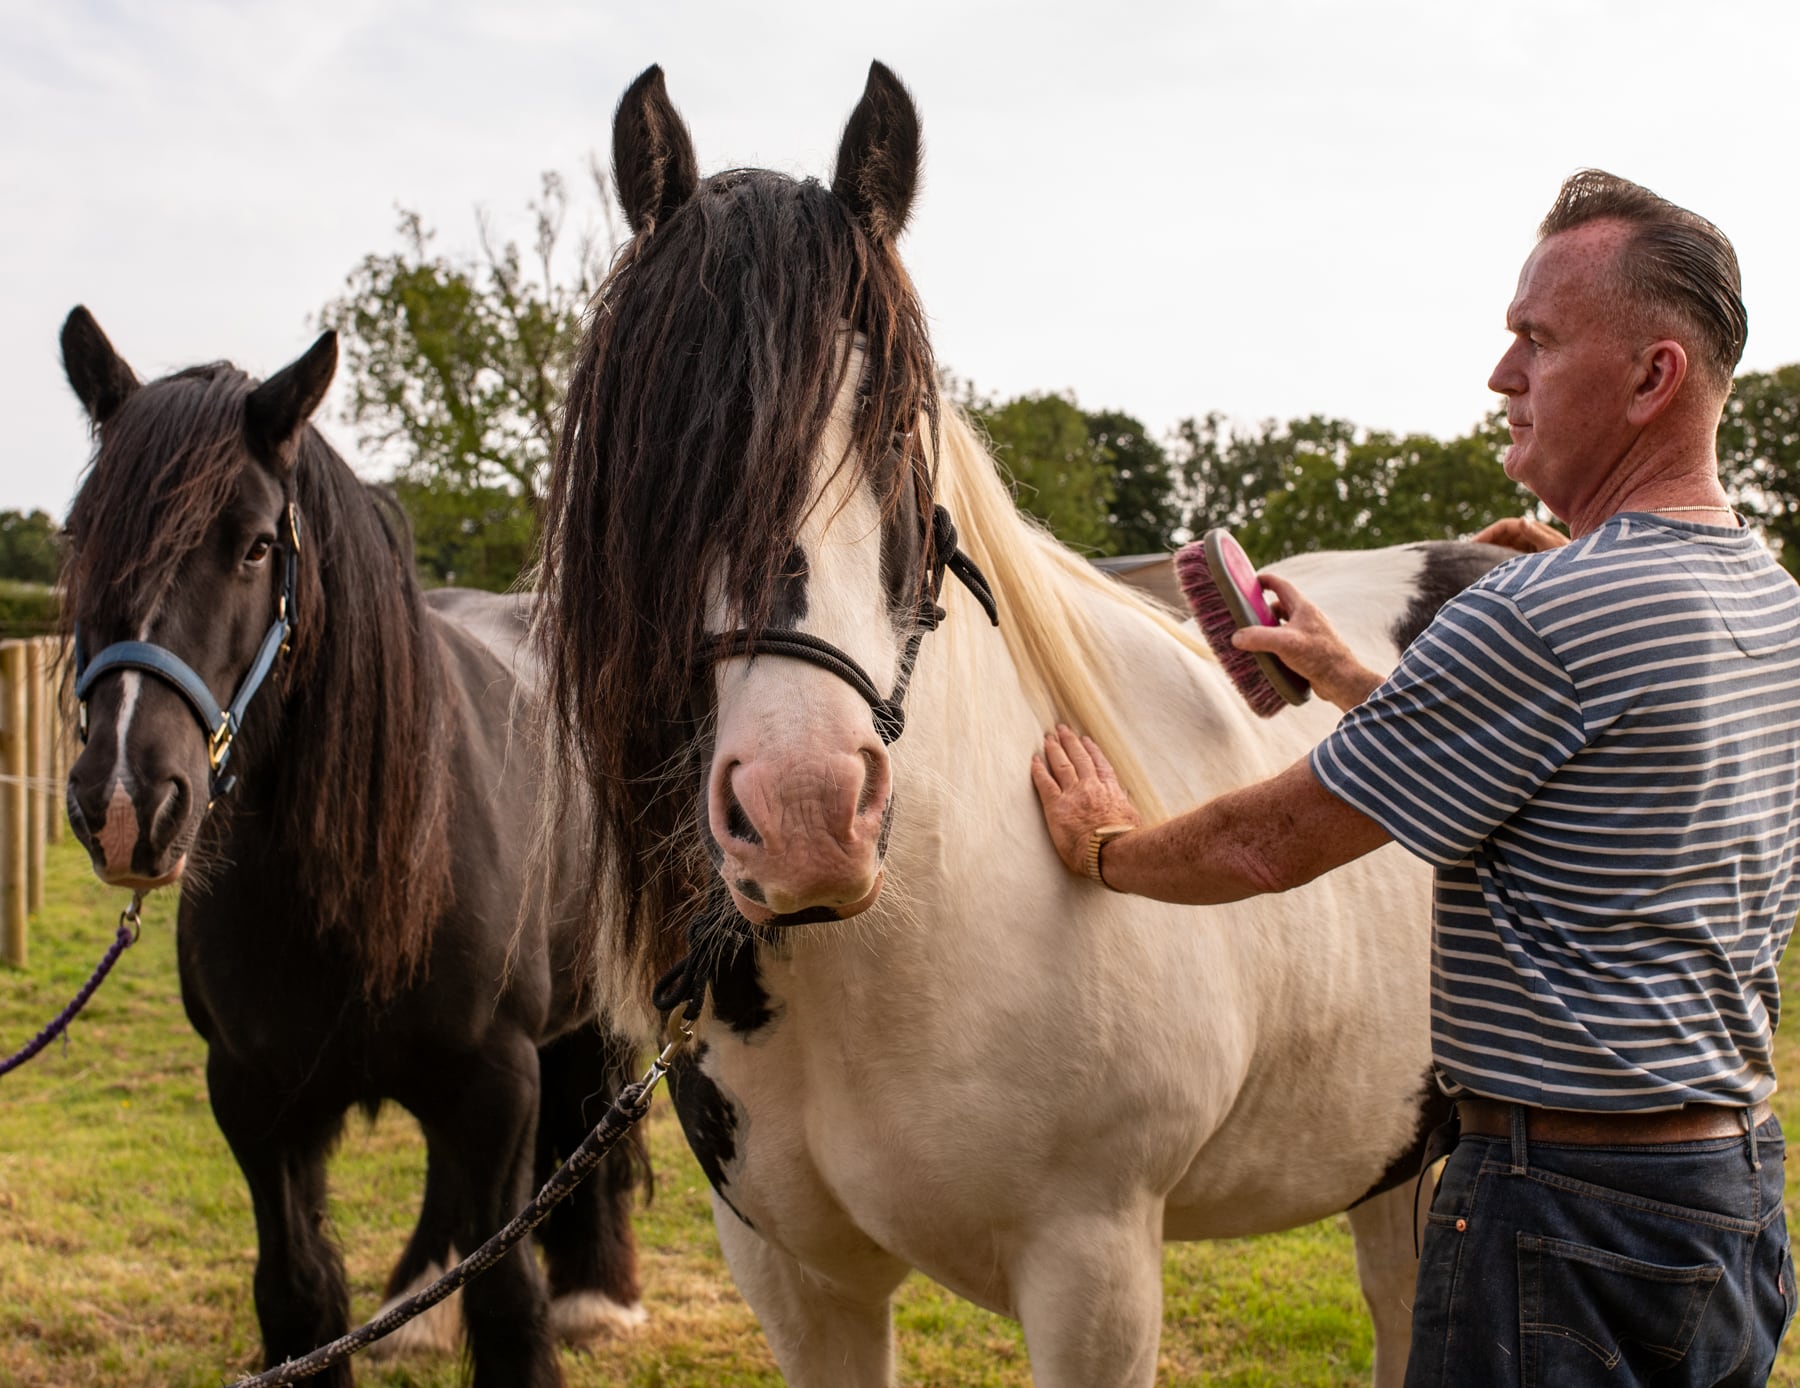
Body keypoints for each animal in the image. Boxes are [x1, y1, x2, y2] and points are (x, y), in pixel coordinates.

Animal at [57, 308, 648, 1388]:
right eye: (80, 536)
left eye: (256, 545)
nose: (123, 801)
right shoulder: (254, 1097)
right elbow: (298, 1296)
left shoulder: (496, 1079)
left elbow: (508, 1302)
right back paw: (417, 1301)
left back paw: (595, 1292)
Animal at [532, 63, 1514, 1387]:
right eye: (652, 443)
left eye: (900, 427)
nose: (806, 816)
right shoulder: (800, 1282)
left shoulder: (1093, 1271)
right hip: (1398, 1161)